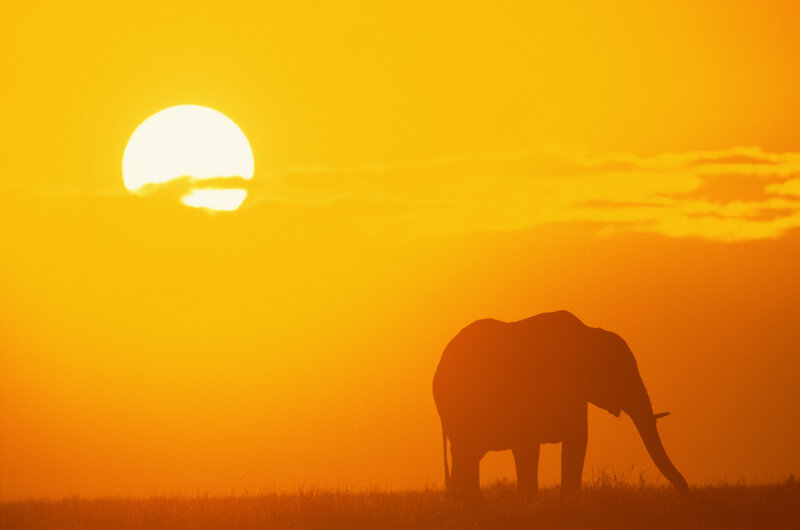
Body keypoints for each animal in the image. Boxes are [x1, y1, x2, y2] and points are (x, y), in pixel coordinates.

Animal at [432, 310, 689, 496]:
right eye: (618, 374)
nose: (684, 491)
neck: (587, 334)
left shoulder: (575, 396)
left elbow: (577, 441)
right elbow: (527, 447)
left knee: (468, 455)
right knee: (466, 453)